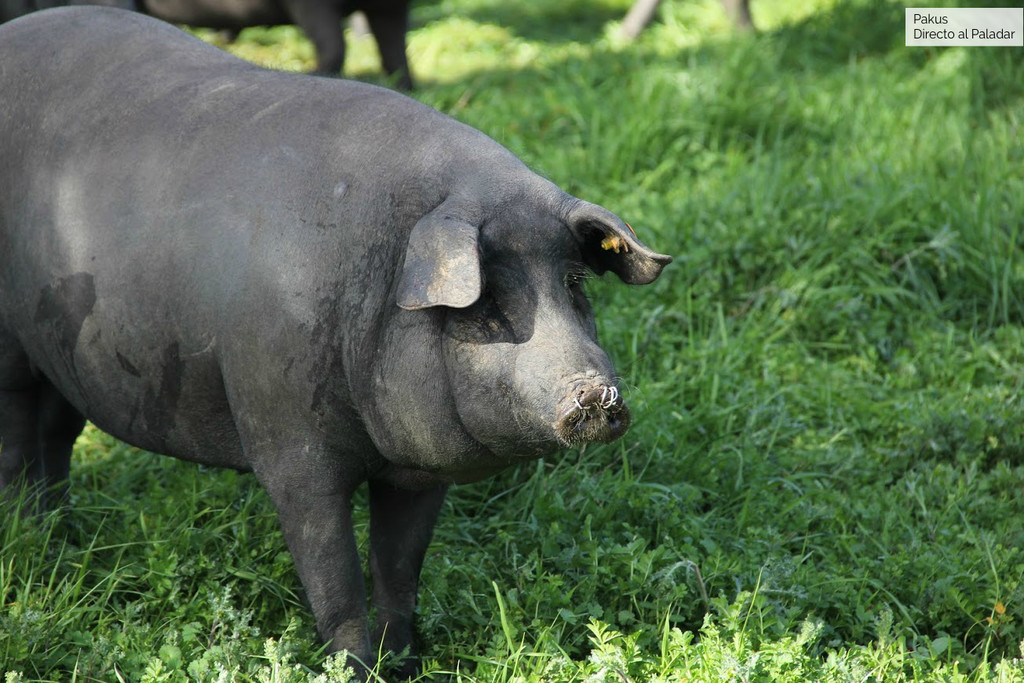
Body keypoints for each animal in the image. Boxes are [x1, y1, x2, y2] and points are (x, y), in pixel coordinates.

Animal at [0, 6, 671, 677]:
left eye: (575, 283)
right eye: (484, 303)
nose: (597, 394)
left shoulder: (416, 470)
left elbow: (399, 569)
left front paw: (402, 662)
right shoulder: (286, 440)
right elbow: (334, 577)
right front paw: (351, 667)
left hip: (62, 354)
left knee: (56, 433)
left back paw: (60, 532)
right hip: (10, 348)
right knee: (17, 437)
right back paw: (30, 535)